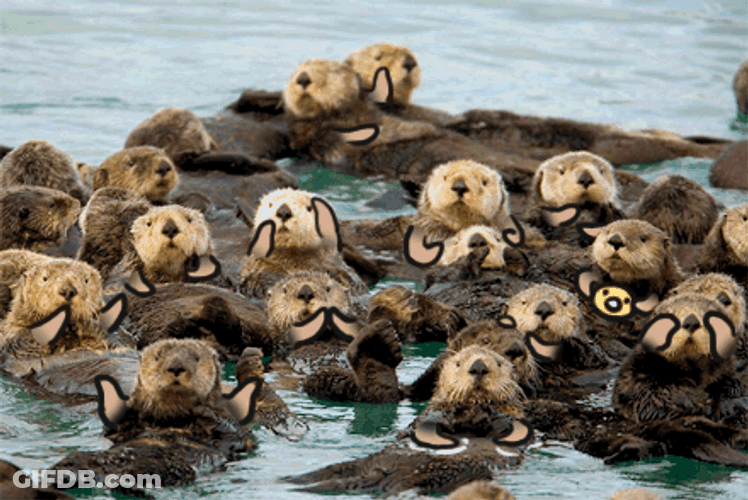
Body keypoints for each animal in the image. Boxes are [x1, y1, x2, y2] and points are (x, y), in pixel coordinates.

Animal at [288, 346, 531, 495]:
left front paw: (483, 412)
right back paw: (291, 479)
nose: (478, 366)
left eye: (498, 363)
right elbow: (424, 422)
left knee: (402, 487)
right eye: (459, 363)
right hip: (358, 463)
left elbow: (505, 426)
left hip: (462, 471)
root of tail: (382, 470)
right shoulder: (428, 413)